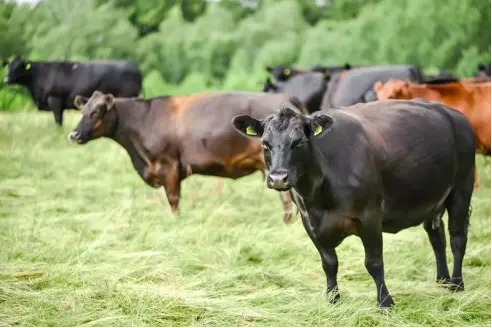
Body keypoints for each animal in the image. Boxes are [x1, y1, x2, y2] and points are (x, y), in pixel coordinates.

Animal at [2, 56, 142, 125]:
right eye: (9, 66)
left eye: (19, 67)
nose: (6, 79)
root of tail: (134, 65)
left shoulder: (55, 99)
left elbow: (58, 120)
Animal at [68, 89, 308, 223]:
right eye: (82, 111)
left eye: (97, 112)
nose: (74, 134)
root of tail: (286, 96)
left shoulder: (169, 165)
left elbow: (173, 200)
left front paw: (176, 222)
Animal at [234, 100, 476, 308]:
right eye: (265, 144)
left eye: (299, 142)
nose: (278, 178)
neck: (318, 195)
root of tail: (454, 114)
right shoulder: (309, 221)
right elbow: (329, 263)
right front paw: (332, 299)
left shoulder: (370, 216)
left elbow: (374, 263)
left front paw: (385, 302)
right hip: (433, 199)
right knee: (437, 237)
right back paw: (442, 280)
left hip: (462, 188)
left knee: (457, 238)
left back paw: (457, 284)